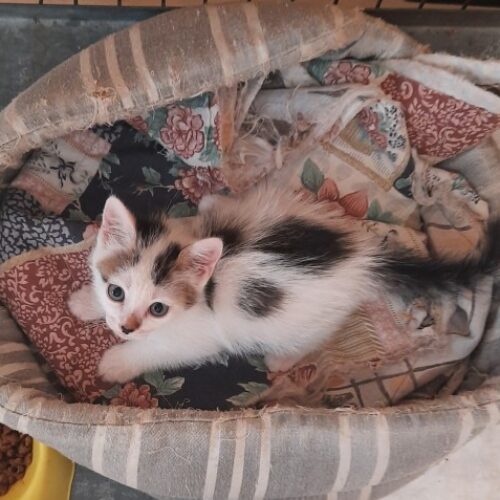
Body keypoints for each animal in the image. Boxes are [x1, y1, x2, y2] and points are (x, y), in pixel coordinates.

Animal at [69, 184, 500, 383]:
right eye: (117, 292)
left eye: (158, 308)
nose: (125, 328)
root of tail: (363, 260)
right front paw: (85, 303)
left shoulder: (197, 336)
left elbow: (158, 350)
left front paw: (117, 362)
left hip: (310, 320)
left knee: (310, 337)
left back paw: (283, 359)